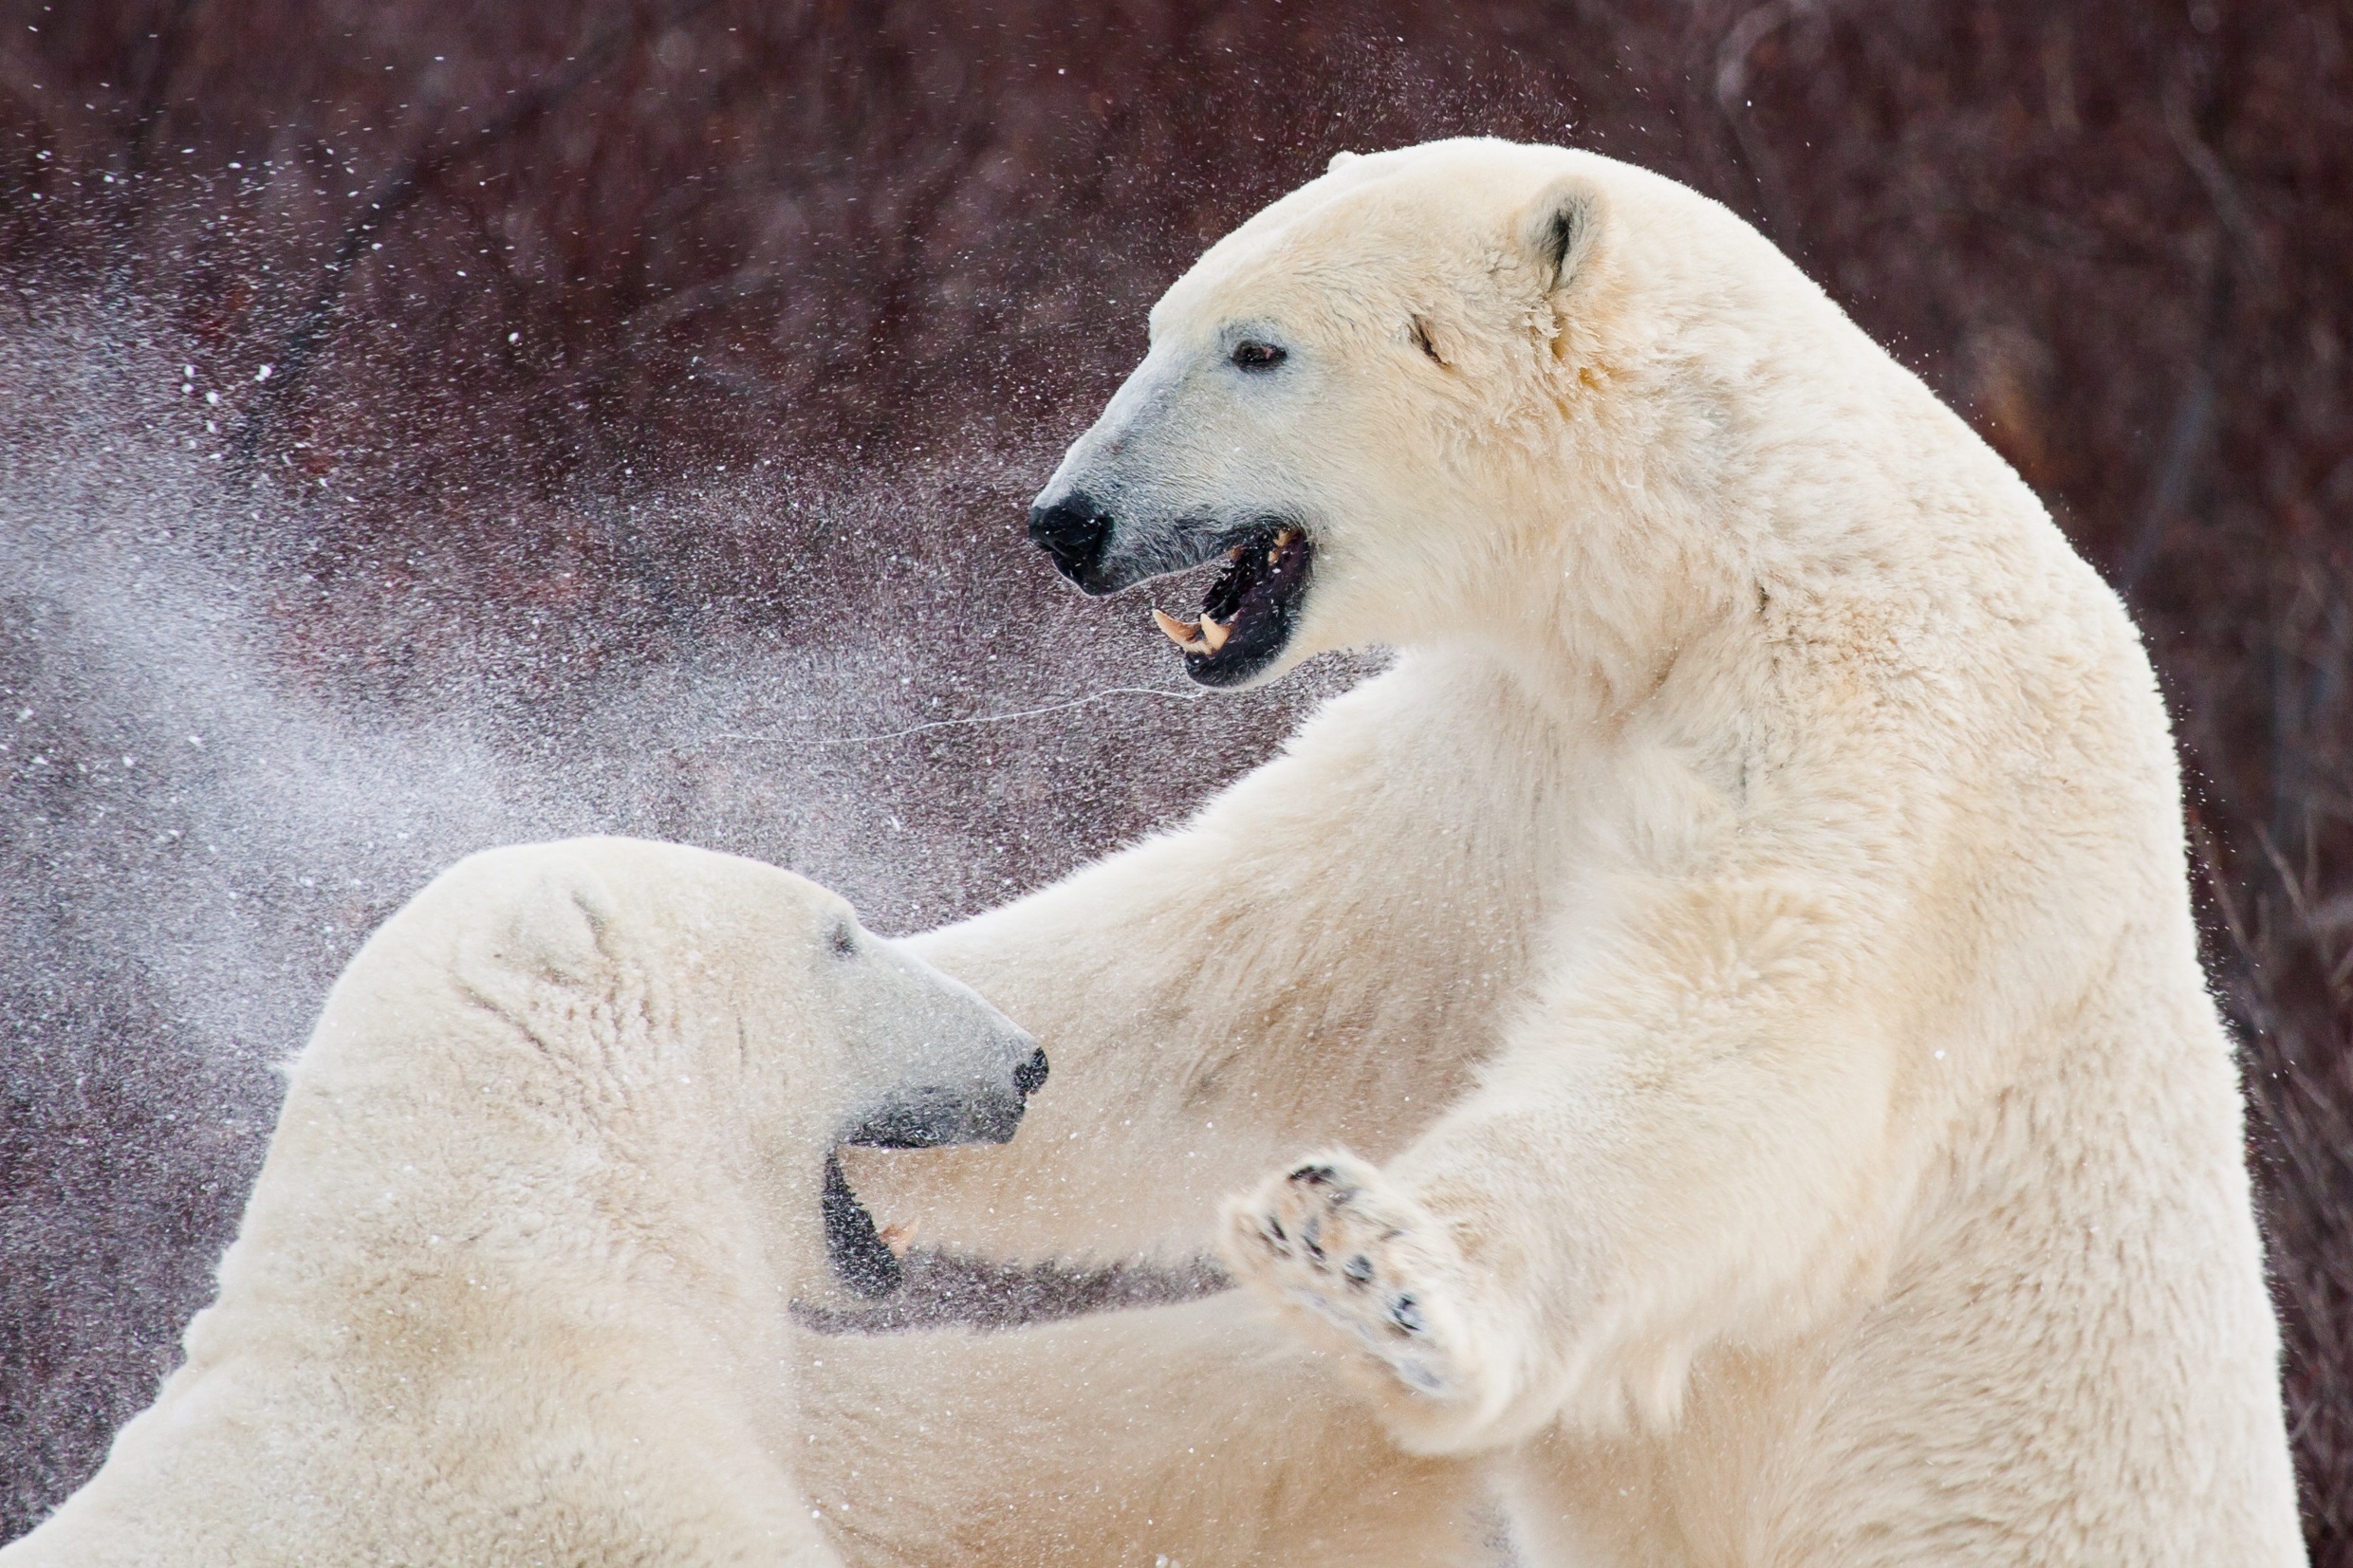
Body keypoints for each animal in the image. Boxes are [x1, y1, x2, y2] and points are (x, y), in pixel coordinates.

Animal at [819, 138, 2306, 1565]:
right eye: (1160, 325)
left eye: (1257, 349)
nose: (1066, 521)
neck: (1707, 554)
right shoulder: (1511, 746)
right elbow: (1249, 980)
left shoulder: (1869, 728)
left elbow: (1739, 1040)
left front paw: (1366, 1264)